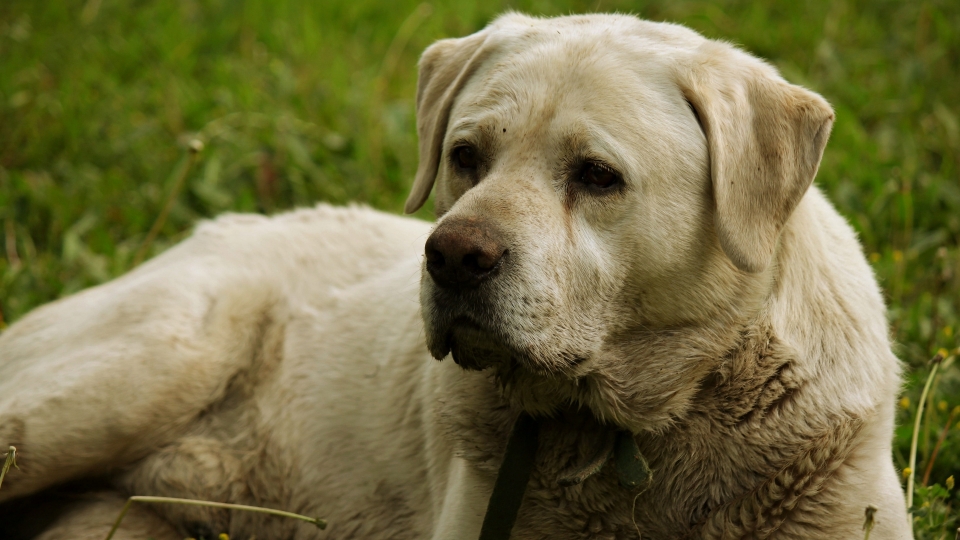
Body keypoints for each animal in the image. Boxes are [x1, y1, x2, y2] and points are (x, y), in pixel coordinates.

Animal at [0, 12, 912, 540]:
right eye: (465, 157)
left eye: (597, 176)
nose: (451, 256)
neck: (634, 431)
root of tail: (211, 231)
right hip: (138, 370)